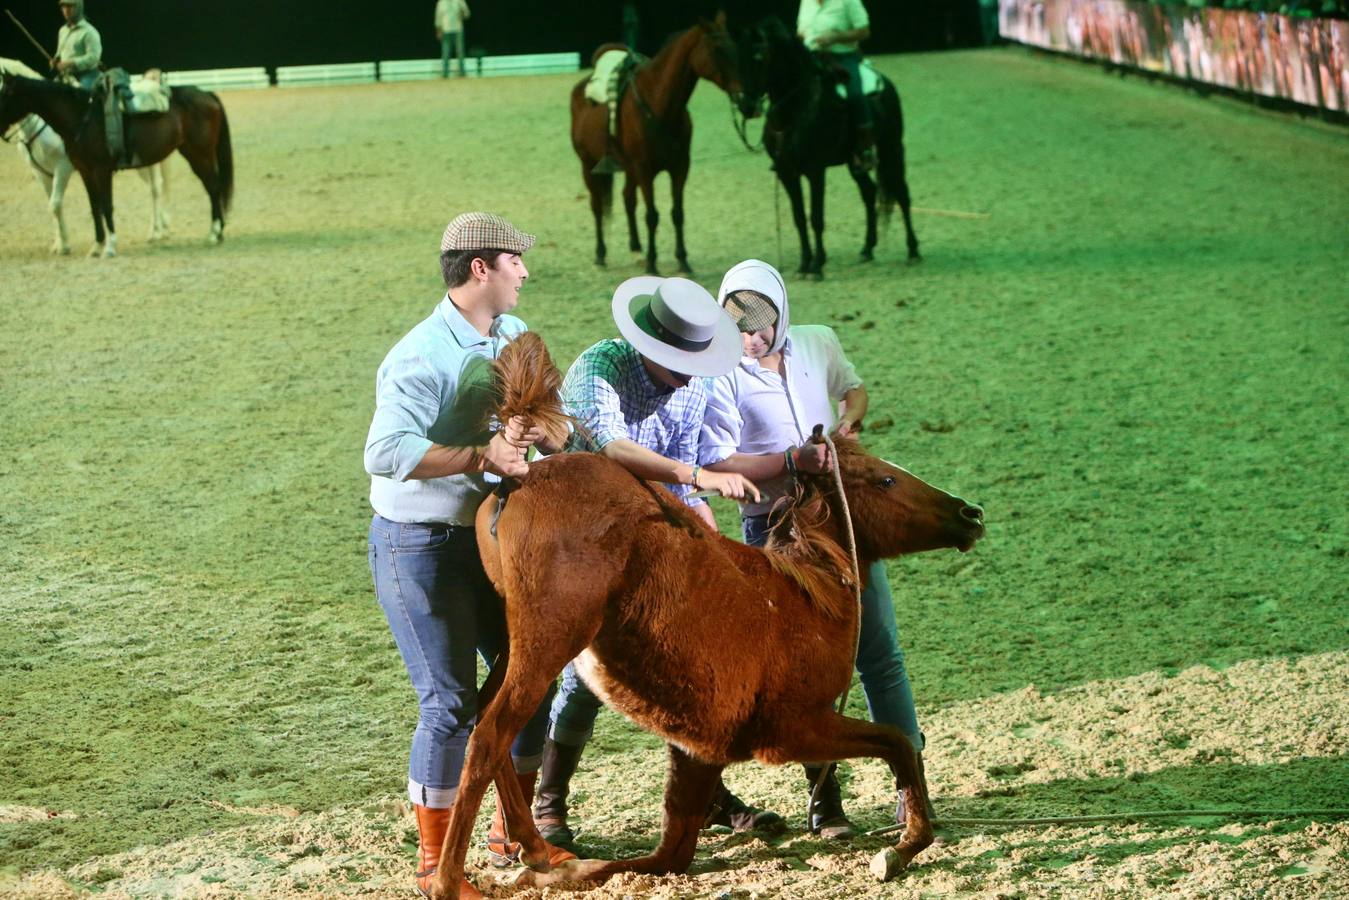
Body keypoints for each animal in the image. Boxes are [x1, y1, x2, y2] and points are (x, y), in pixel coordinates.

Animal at [0, 73, 232, 256]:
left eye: (5, 94)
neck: (82, 116)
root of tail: (207, 95)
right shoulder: (84, 171)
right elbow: (94, 207)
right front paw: (96, 246)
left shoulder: (100, 171)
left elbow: (106, 205)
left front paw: (110, 247)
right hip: (190, 154)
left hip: (200, 154)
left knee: (212, 188)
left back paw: (213, 233)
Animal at [426, 335, 987, 895]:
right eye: (886, 480)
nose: (971, 513)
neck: (809, 591)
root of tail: (518, 480)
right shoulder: (796, 727)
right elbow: (896, 743)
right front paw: (902, 847)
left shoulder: (698, 752)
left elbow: (664, 856)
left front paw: (574, 871)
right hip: (548, 640)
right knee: (490, 735)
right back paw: (451, 880)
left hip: (512, 640)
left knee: (486, 720)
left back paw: (538, 850)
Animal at [569, 12, 750, 275]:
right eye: (716, 49)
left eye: (735, 47)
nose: (746, 101)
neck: (659, 104)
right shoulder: (645, 170)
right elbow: (652, 215)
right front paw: (653, 264)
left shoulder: (680, 168)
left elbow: (677, 213)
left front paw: (682, 260)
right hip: (589, 166)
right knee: (597, 207)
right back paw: (601, 254)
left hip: (628, 168)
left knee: (628, 199)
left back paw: (636, 249)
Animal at [739, 17, 917, 277]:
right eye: (738, 56)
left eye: (760, 57)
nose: (746, 105)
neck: (796, 109)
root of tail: (885, 82)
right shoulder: (786, 173)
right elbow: (799, 218)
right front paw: (804, 263)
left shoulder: (815, 171)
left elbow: (816, 217)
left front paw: (816, 266)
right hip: (855, 161)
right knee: (869, 192)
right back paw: (867, 249)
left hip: (891, 149)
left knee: (902, 194)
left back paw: (913, 250)